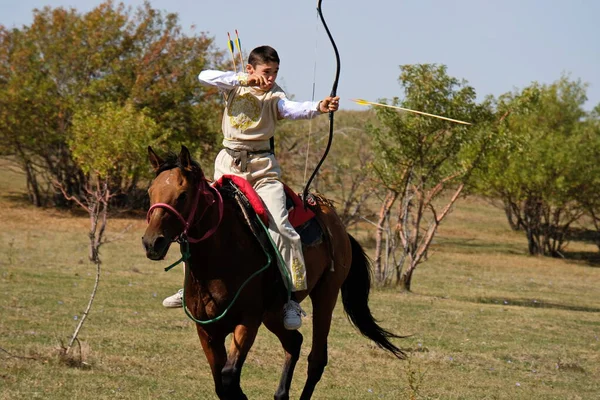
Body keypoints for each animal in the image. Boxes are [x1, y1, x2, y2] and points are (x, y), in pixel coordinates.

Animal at [142, 147, 404, 400]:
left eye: (183, 194)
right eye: (150, 192)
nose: (152, 242)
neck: (220, 260)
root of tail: (336, 224)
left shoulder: (248, 322)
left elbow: (229, 377)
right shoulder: (207, 330)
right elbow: (221, 384)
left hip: (325, 295)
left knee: (316, 359)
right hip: (273, 312)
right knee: (294, 342)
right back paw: (281, 394)